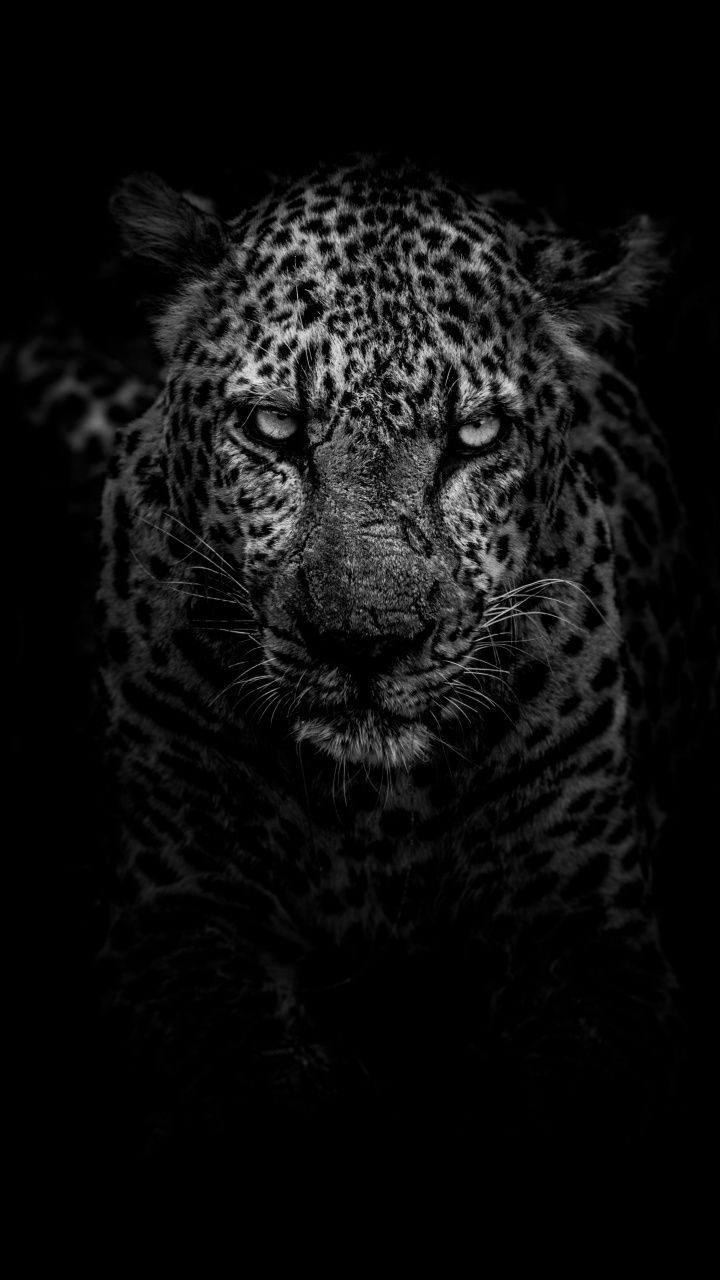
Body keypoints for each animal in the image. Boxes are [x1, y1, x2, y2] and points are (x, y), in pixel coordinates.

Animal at [89, 155, 714, 1168]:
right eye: (273, 428)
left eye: (476, 437)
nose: (366, 641)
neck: (373, 811)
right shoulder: (179, 919)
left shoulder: (587, 933)